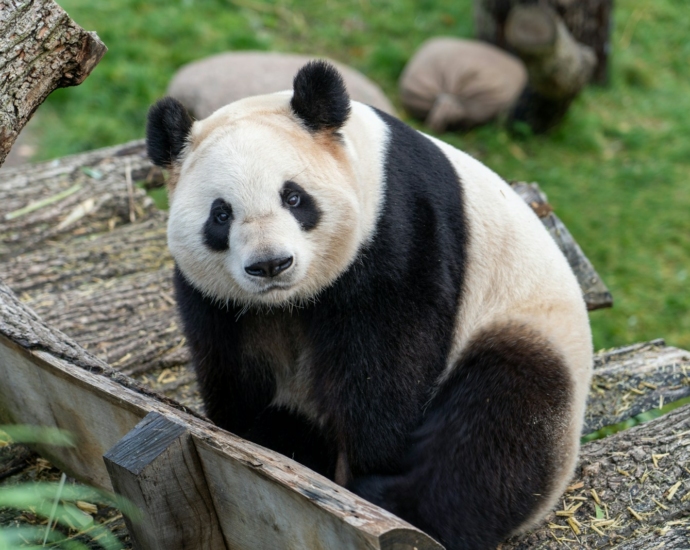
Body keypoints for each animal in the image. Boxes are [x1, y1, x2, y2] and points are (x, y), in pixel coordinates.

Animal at [145, 60, 592, 550]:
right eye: (221, 214)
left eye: (294, 197)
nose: (271, 264)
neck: (290, 301)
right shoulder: (218, 300)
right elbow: (235, 367)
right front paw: (259, 440)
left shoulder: (399, 226)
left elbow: (387, 359)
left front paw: (366, 463)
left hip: (526, 327)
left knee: (499, 424)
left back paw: (398, 502)